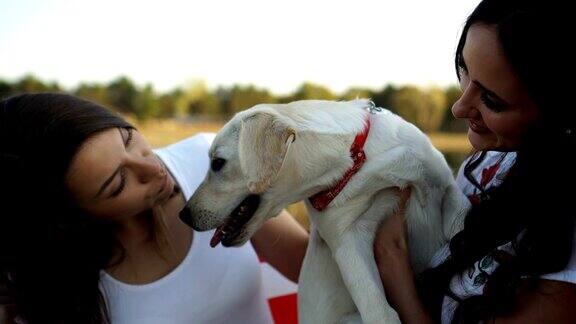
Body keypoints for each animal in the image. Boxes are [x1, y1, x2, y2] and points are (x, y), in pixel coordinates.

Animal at [182, 100, 470, 322]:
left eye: (217, 163)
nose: (183, 215)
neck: (355, 163)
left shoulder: (446, 187)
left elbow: (460, 222)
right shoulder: (348, 243)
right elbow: (380, 312)